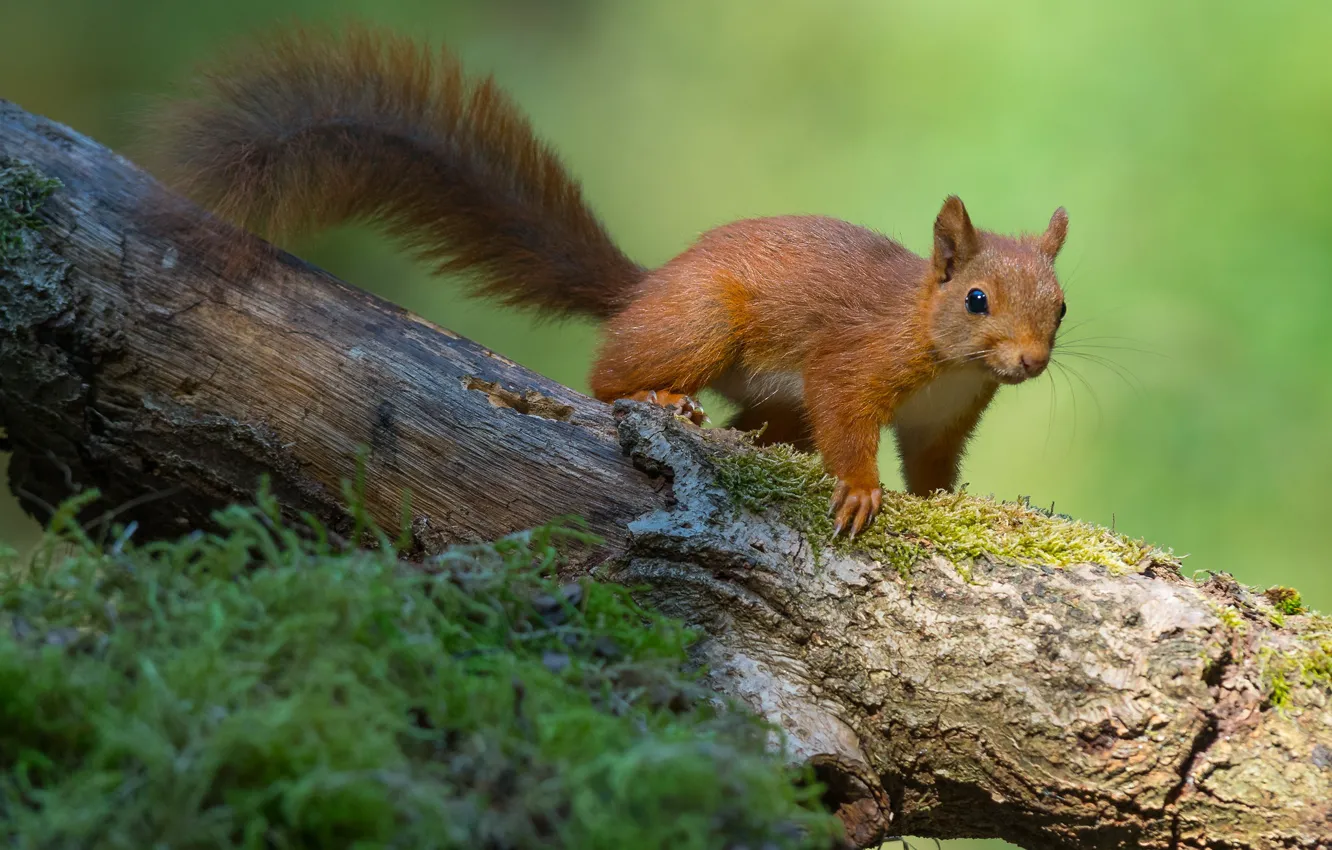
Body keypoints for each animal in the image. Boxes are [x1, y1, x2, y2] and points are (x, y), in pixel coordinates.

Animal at [145, 25, 1070, 539]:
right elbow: (846, 422)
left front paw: (955, 503)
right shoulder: (855, 361)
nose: (1029, 362)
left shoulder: (944, 419)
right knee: (605, 379)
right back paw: (658, 398)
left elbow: (934, 470)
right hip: (704, 321)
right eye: (976, 299)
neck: (939, 348)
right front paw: (859, 492)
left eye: (1062, 307)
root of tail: (644, 289)